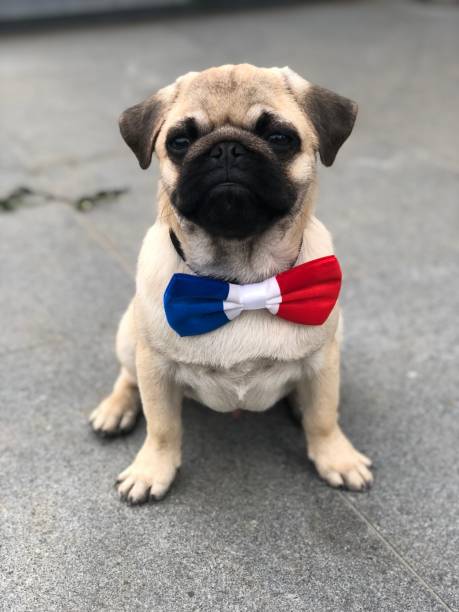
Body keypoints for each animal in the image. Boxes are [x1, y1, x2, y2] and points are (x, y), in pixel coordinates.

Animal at [90, 62, 374, 504]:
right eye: (180, 142)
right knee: (127, 377)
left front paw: (336, 458)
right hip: (128, 334)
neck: (241, 280)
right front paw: (151, 470)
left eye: (279, 138)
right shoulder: (155, 367)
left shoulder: (323, 361)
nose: (226, 148)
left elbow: (325, 416)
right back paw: (115, 409)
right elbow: (162, 426)